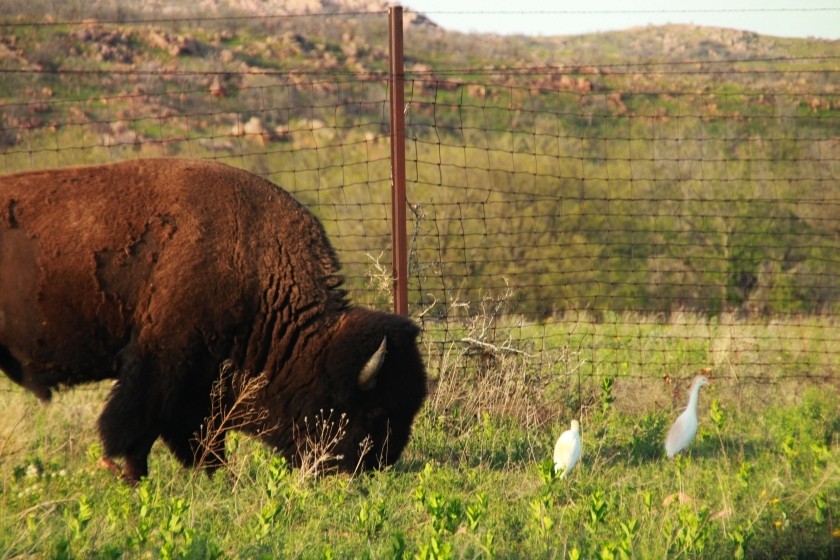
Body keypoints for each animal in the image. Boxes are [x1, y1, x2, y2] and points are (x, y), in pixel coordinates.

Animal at [0, 158, 430, 482]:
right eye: (375, 411)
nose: (379, 464)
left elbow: (199, 438)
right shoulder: (160, 363)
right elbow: (135, 426)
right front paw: (127, 473)